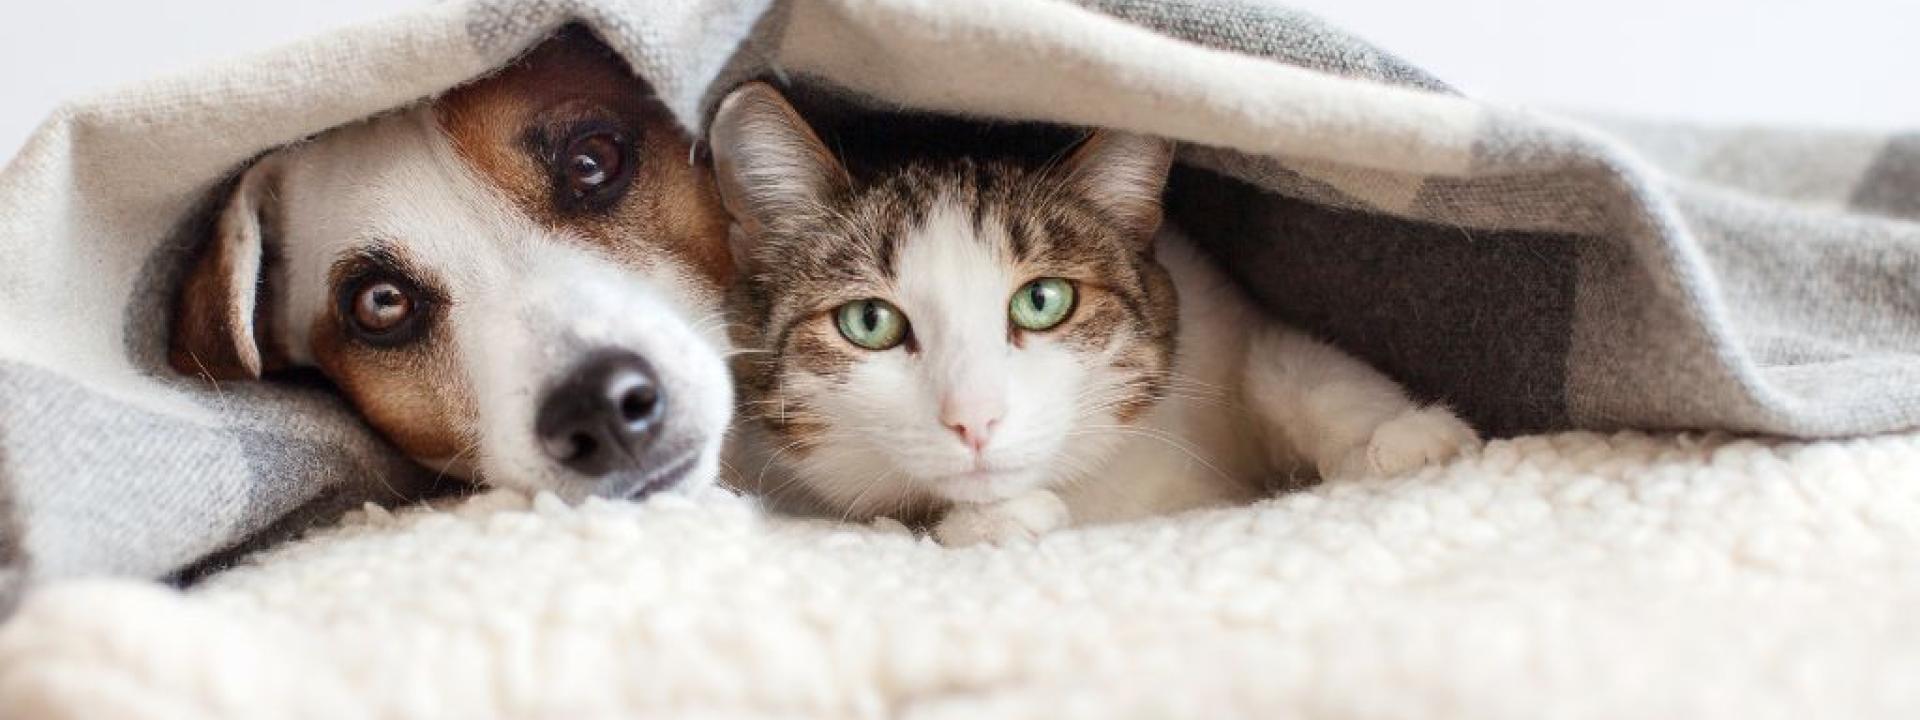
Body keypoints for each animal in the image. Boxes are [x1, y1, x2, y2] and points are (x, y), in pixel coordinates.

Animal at [706, 83, 1482, 545]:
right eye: (869, 322)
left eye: (1043, 301)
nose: (975, 420)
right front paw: (997, 520)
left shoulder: (1213, 304)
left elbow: (1288, 362)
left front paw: (1406, 438)